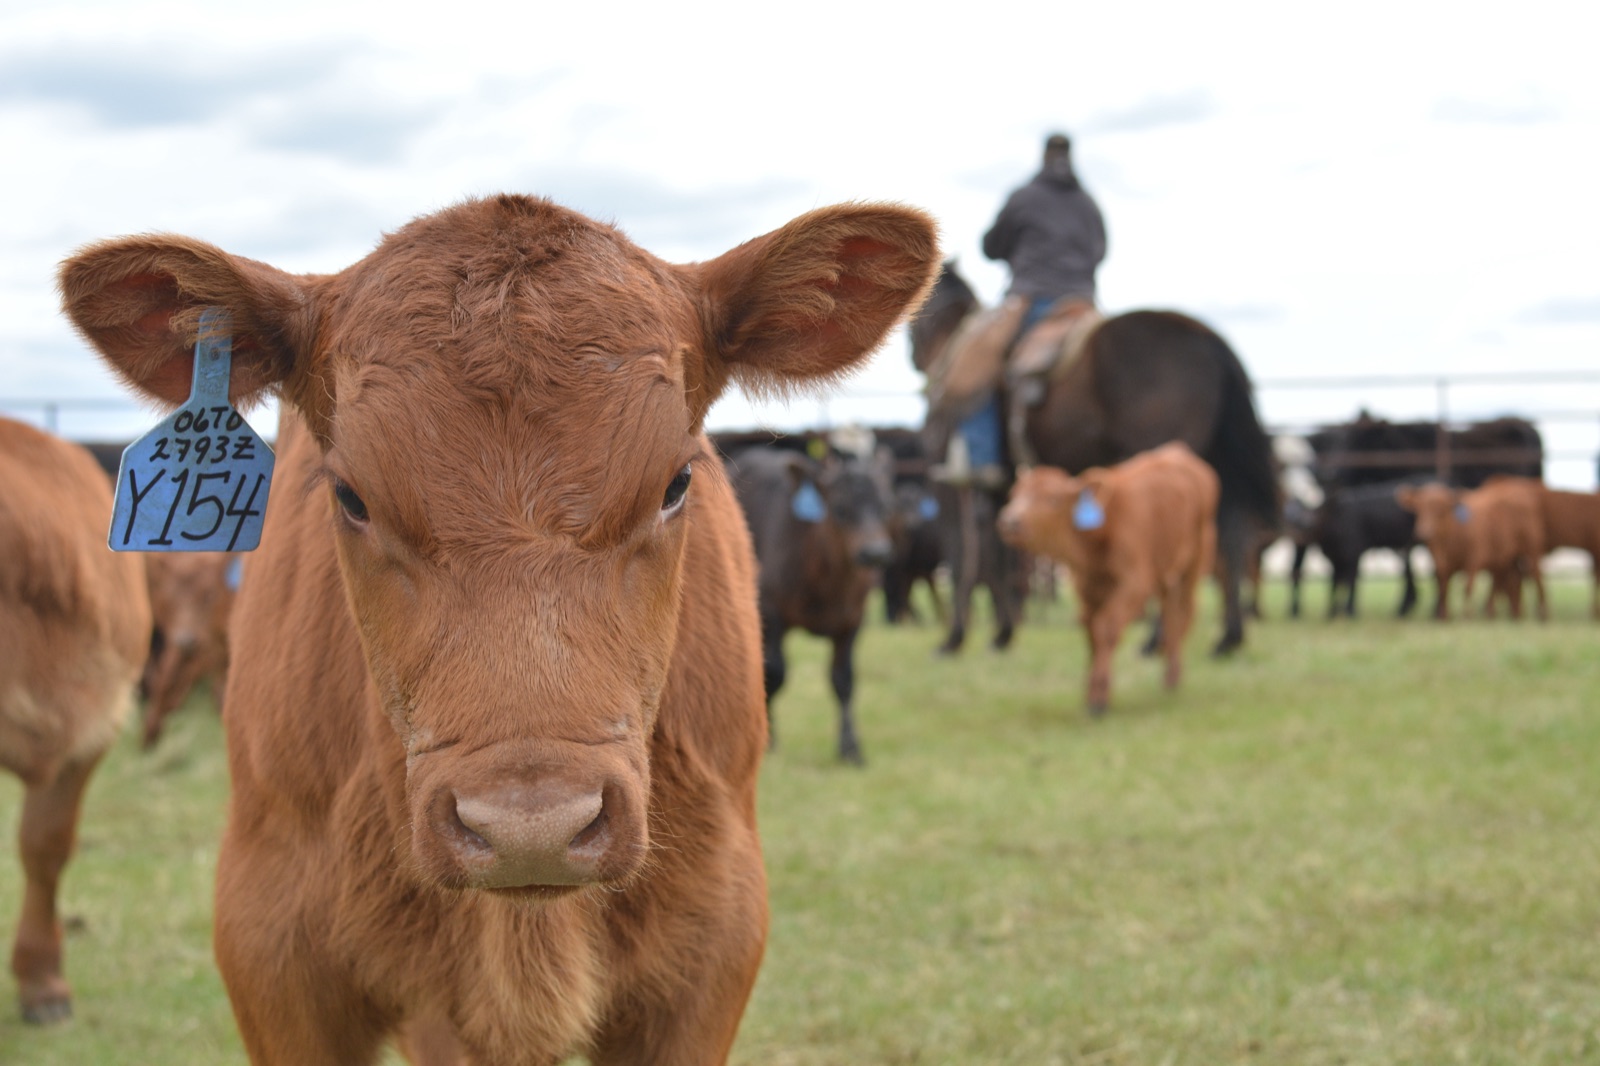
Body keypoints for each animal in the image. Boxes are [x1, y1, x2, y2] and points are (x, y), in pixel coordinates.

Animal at [726, 443, 895, 765]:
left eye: (884, 506)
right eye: (840, 508)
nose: (875, 553)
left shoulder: (854, 620)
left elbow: (844, 680)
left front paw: (850, 747)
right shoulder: (771, 612)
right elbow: (774, 672)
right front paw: (770, 740)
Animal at [997, 442, 1218, 716]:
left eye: (1053, 499)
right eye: (1014, 495)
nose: (1009, 521)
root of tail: (1178, 450)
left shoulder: (1135, 584)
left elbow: (1107, 628)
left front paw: (1099, 699)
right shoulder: (1087, 588)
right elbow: (1092, 633)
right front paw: (1090, 692)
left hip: (1194, 560)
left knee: (1183, 611)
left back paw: (1172, 677)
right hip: (1164, 568)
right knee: (1169, 612)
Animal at [1396, 478, 1547, 621]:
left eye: (1441, 510)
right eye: (1419, 509)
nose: (1424, 532)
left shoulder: (1474, 559)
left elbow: (1467, 587)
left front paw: (1467, 616)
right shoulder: (1441, 565)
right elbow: (1443, 588)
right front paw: (1444, 616)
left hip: (1531, 551)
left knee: (1537, 577)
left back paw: (1543, 614)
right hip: (1506, 559)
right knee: (1509, 581)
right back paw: (1506, 614)